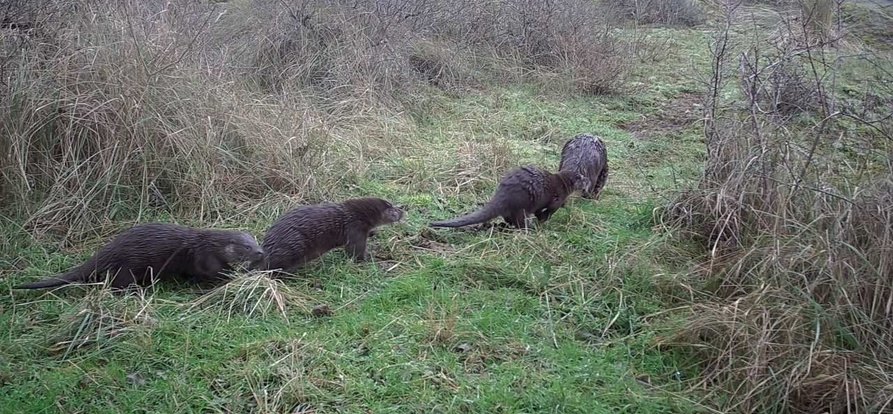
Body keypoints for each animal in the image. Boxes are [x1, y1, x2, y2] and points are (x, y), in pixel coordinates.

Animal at [12, 223, 265, 290]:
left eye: (256, 241)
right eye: (247, 247)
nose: (261, 252)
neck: (212, 244)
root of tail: (108, 250)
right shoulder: (205, 256)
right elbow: (212, 271)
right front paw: (233, 275)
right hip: (128, 267)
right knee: (117, 282)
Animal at [250, 197, 404, 273]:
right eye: (392, 209)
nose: (403, 209)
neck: (356, 215)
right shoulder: (356, 229)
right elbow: (356, 251)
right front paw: (371, 258)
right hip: (293, 244)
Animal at [428, 166, 588, 229]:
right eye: (582, 178)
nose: (588, 180)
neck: (563, 183)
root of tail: (502, 196)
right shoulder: (558, 198)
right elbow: (548, 211)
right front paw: (543, 221)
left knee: (508, 217)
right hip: (523, 205)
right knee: (519, 220)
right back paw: (528, 228)